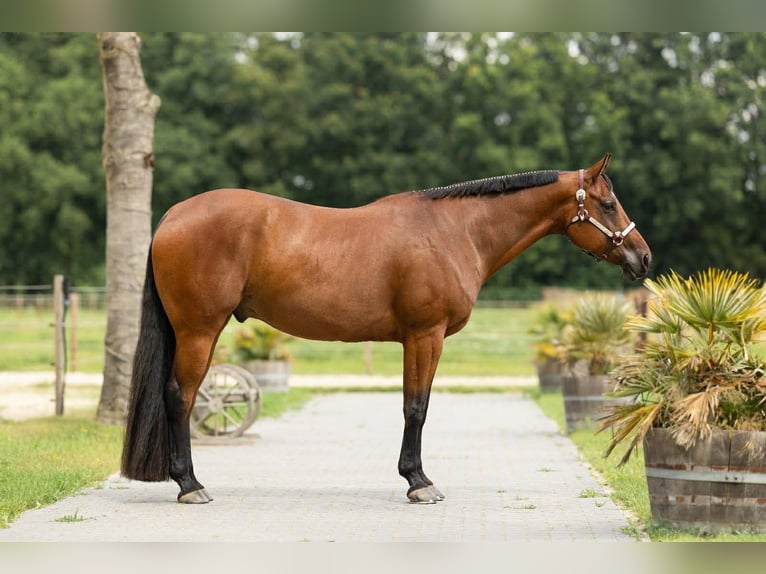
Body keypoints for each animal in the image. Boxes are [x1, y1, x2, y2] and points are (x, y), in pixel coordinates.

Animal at [121, 153, 651, 504]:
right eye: (608, 204)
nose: (643, 257)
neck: (455, 231)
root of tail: (173, 215)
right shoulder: (424, 336)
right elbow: (416, 408)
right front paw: (419, 482)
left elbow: (416, 405)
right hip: (199, 330)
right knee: (180, 397)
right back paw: (190, 485)